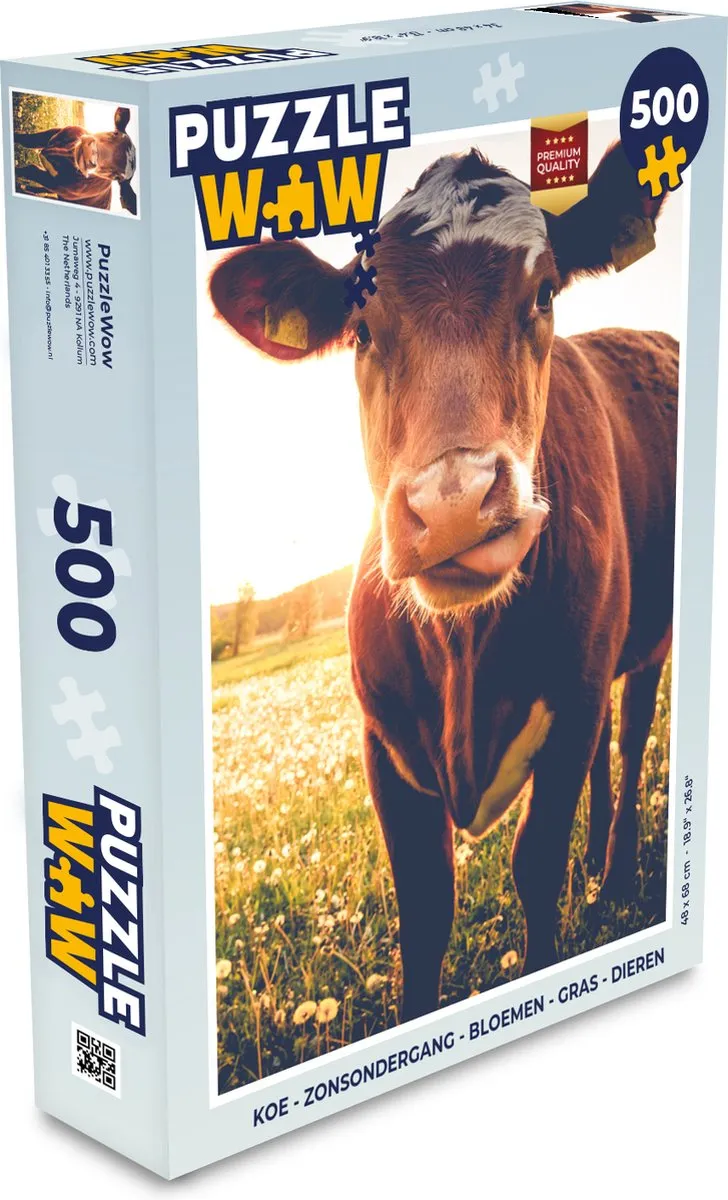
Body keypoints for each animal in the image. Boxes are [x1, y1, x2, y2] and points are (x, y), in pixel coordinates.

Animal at [209, 141, 677, 1022]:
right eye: (361, 327)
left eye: (543, 293)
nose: (453, 506)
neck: (466, 653)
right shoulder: (382, 742)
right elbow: (424, 910)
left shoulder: (570, 705)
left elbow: (535, 866)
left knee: (630, 738)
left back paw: (614, 872)